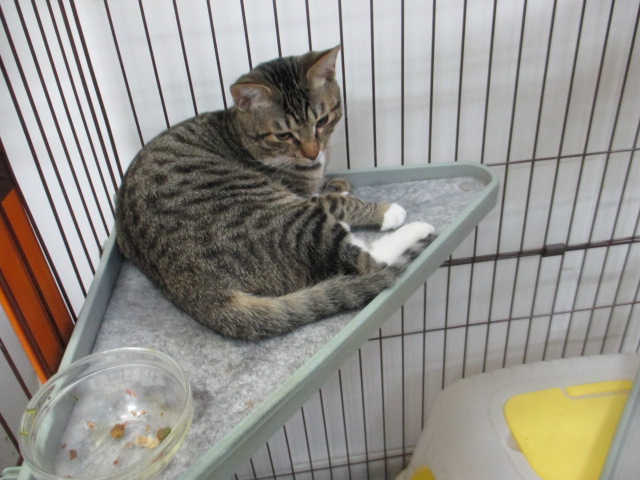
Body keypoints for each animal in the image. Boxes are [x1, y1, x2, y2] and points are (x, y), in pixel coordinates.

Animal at [115, 46, 434, 341]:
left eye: (322, 120)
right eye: (283, 135)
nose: (312, 153)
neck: (241, 135)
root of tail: (200, 293)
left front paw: (338, 183)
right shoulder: (301, 194)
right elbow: (336, 203)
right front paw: (379, 209)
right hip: (284, 218)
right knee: (366, 261)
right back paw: (415, 228)